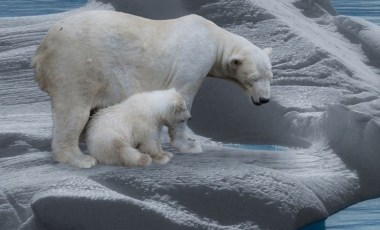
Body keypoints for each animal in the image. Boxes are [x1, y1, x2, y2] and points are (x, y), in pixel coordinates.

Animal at [31, 10, 272, 167]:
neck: (213, 36)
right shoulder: (192, 62)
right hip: (75, 65)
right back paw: (80, 159)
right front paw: (189, 145)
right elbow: (183, 95)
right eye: (253, 79)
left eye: (270, 76)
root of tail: (42, 48)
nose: (265, 100)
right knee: (74, 111)